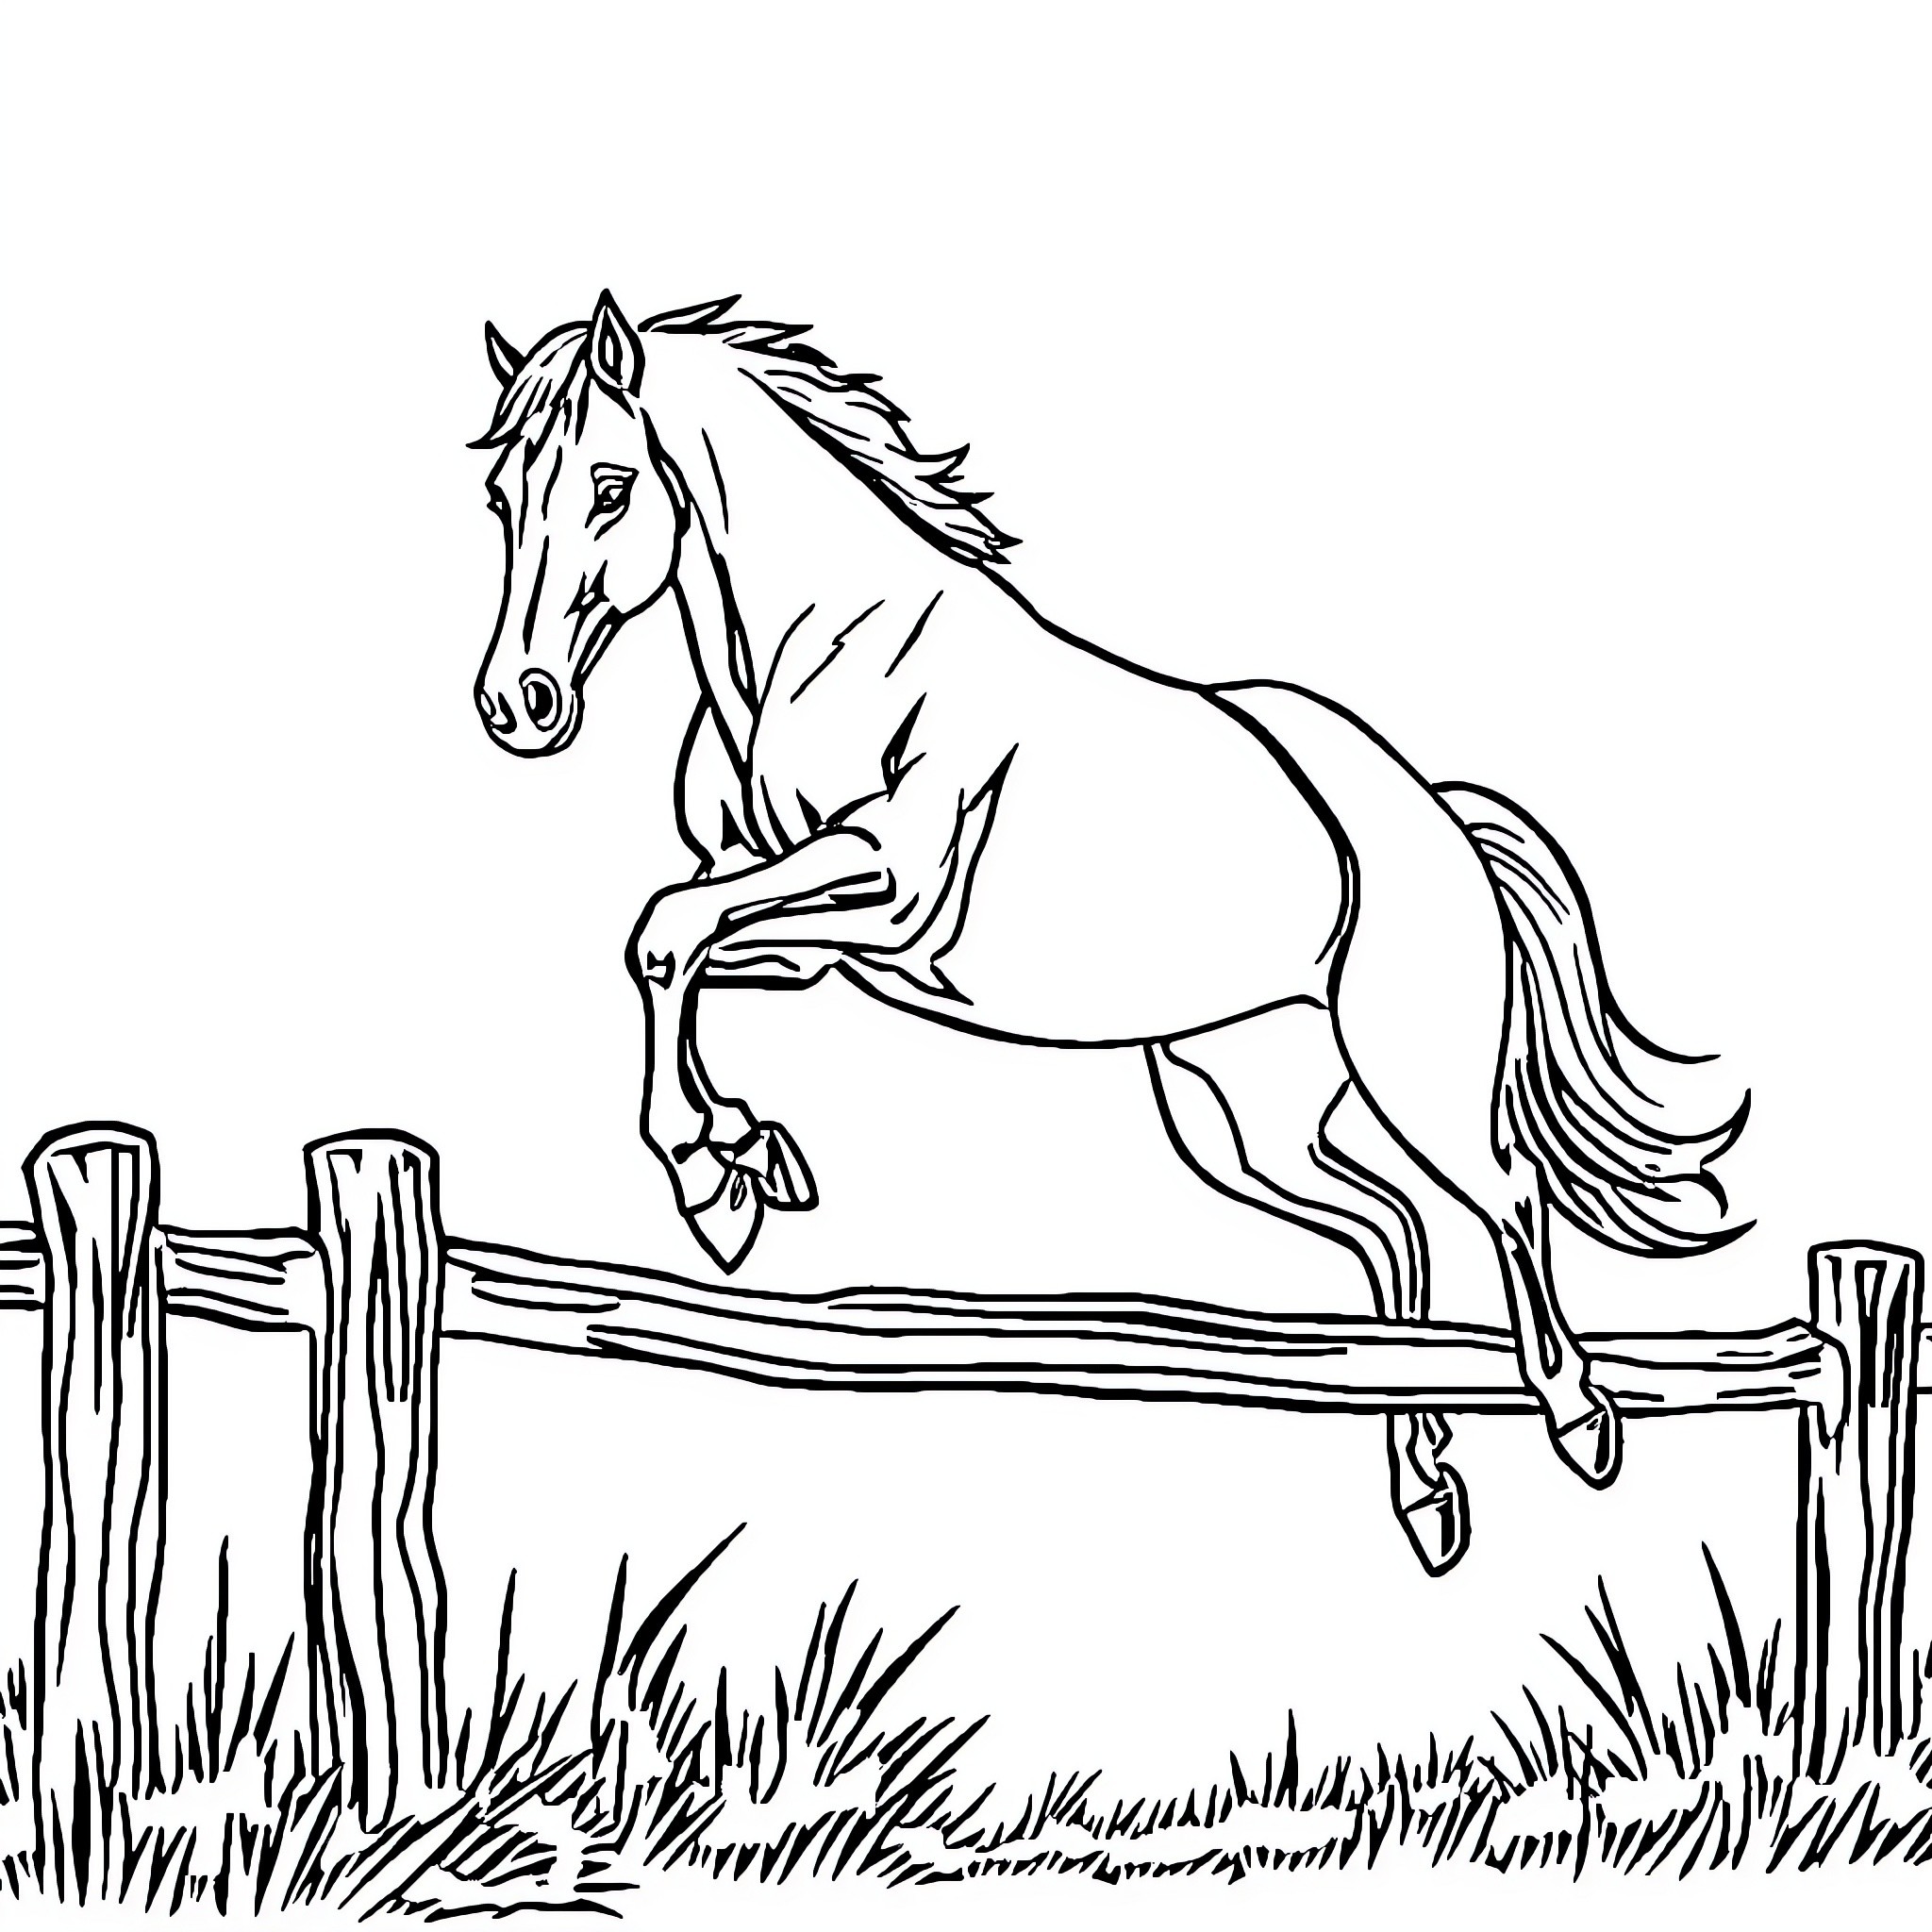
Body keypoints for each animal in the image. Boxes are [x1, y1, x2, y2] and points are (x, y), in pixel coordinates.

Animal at [469, 292, 1748, 1576]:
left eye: (611, 485)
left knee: (1501, 1191)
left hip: (1407, 1064)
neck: (822, 654)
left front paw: (711, 1175)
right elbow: (671, 943)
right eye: (499, 496)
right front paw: (741, 1161)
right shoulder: (814, 942)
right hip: (1237, 1111)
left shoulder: (884, 889)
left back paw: (1574, 1414)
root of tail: (1427, 808)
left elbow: (666, 932)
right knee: (1389, 1229)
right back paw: (1424, 1485)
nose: (517, 704)